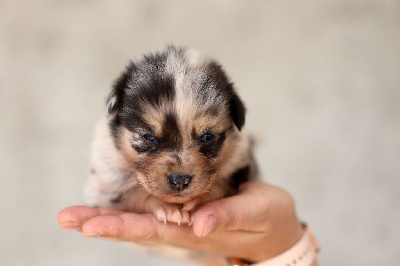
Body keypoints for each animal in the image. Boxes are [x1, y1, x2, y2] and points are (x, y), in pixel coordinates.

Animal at [84, 45, 256, 224]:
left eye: (207, 137)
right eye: (148, 137)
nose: (179, 181)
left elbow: (222, 184)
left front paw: (200, 197)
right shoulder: (104, 187)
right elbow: (133, 193)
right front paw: (166, 208)